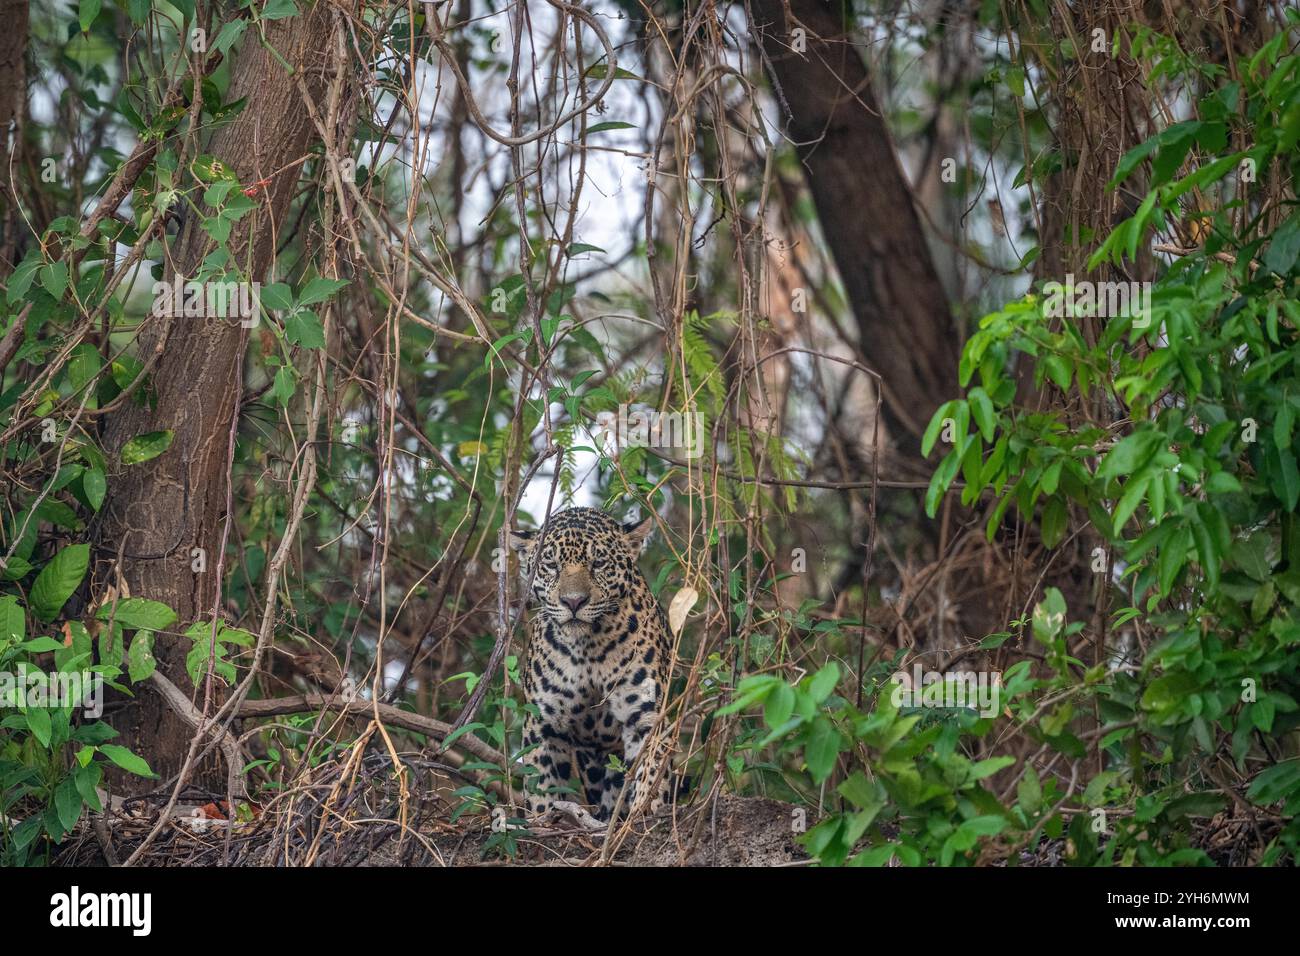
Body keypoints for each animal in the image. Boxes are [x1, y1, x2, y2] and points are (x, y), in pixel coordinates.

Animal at [508, 507, 673, 821]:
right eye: (551, 565)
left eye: (599, 563)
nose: (574, 602)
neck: (588, 649)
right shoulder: (543, 723)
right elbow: (541, 784)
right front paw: (541, 818)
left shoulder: (644, 715)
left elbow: (650, 770)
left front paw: (644, 813)